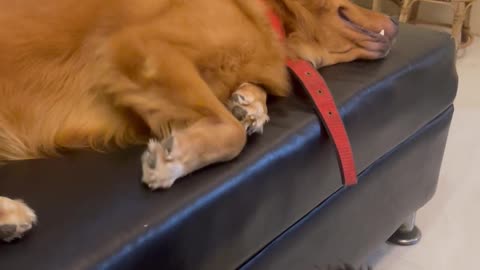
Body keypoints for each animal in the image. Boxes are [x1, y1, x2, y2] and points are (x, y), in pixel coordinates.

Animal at [0, 0, 398, 240]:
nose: (396, 18)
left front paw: (250, 105)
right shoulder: (145, 47)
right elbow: (233, 136)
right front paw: (171, 161)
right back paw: (10, 213)